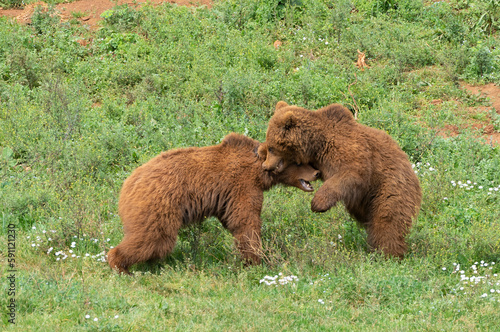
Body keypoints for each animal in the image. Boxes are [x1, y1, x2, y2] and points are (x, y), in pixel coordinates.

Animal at [108, 132, 320, 274]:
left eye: (305, 161)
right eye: (299, 163)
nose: (317, 173)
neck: (259, 172)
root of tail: (128, 183)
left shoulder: (227, 199)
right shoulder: (242, 186)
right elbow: (246, 222)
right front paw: (256, 260)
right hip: (158, 204)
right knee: (154, 238)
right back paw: (120, 265)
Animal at [262, 102, 422, 258]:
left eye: (272, 147)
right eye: (268, 145)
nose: (266, 165)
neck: (316, 145)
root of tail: (412, 171)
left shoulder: (346, 150)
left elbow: (351, 173)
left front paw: (317, 203)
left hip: (391, 186)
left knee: (387, 220)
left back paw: (387, 253)